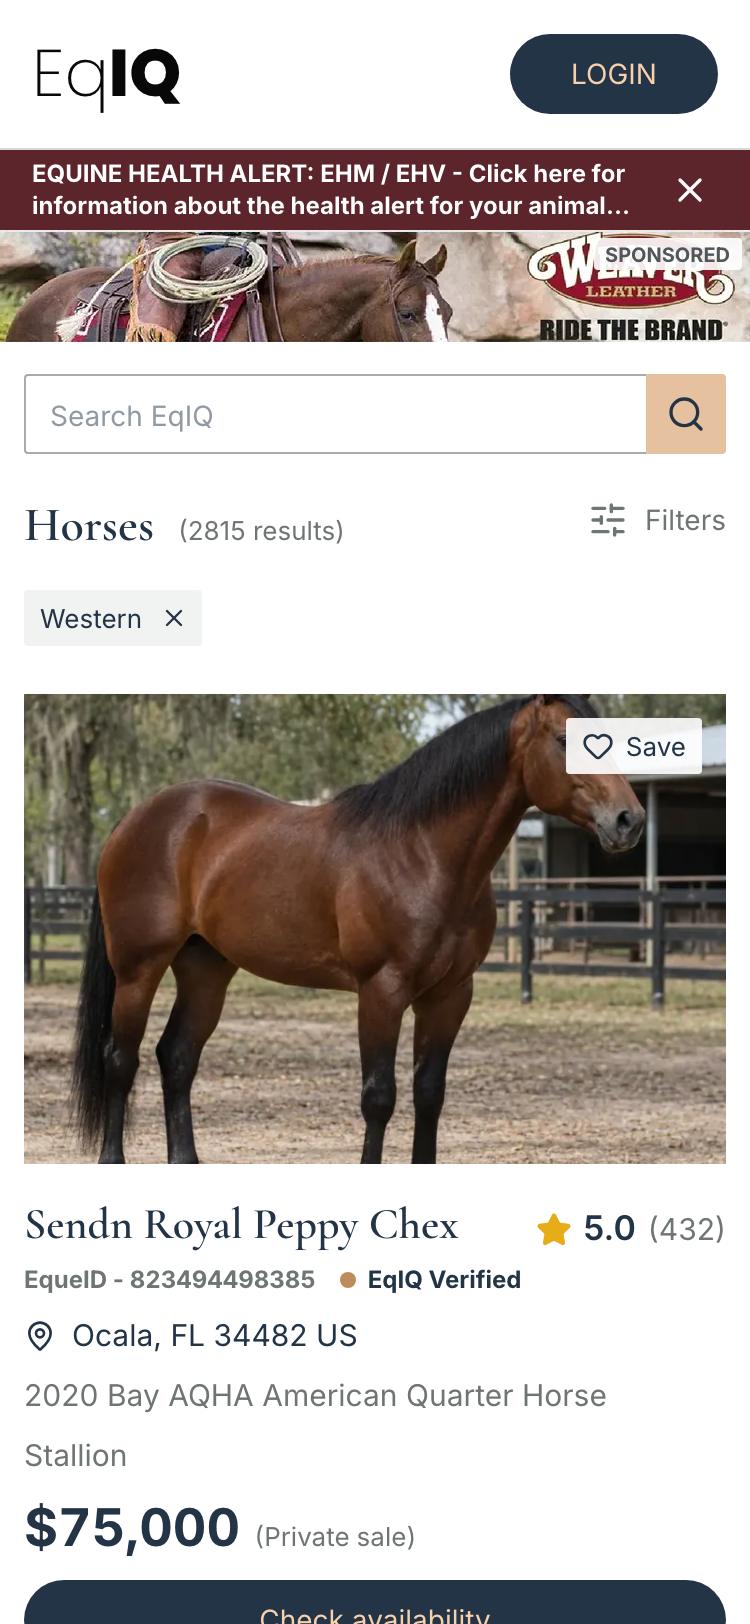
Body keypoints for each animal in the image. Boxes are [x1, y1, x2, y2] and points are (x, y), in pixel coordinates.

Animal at [72, 696, 645, 1167]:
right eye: (565, 740)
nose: (629, 820)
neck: (423, 855)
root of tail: (134, 820)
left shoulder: (450, 995)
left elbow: (429, 1093)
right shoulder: (381, 991)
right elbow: (379, 1097)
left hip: (206, 969)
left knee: (177, 1057)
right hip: (138, 969)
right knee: (120, 1060)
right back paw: (111, 1159)